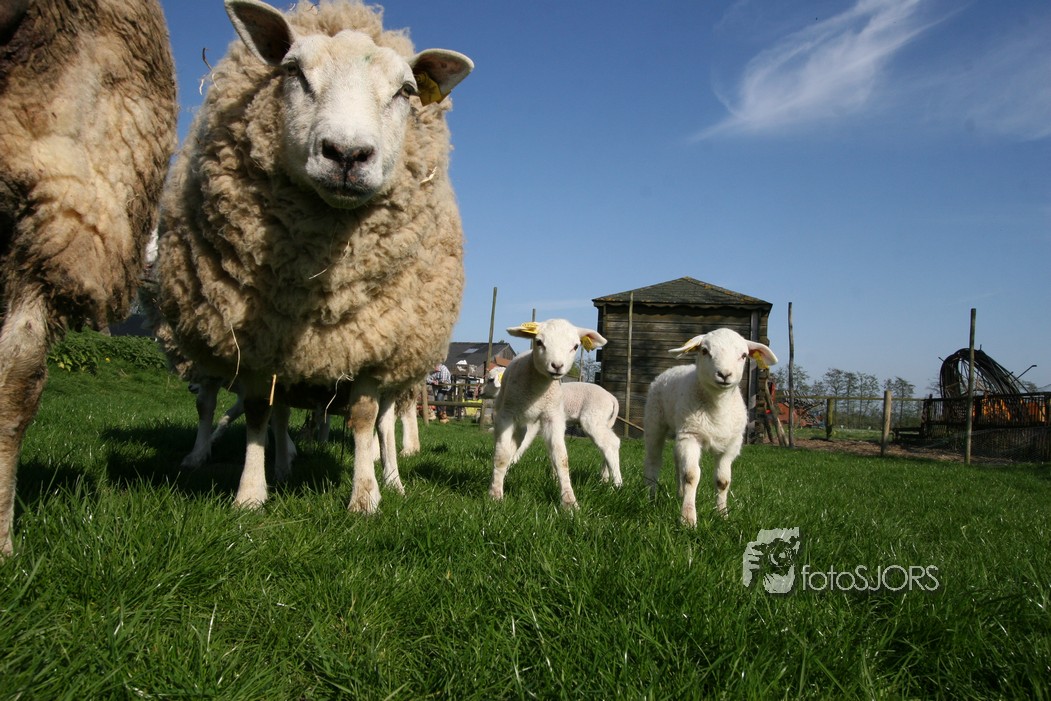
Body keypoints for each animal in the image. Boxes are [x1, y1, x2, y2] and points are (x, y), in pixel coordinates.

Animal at [151, 0, 473, 513]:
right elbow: (257, 413)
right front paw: (250, 493)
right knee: (264, 410)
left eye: (405, 90)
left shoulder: (370, 341)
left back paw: (393, 477)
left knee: (385, 423)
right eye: (293, 71)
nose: (347, 154)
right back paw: (270, 463)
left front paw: (365, 497)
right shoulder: (258, 340)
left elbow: (363, 418)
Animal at [482, 365, 622, 486]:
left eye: (490, 380)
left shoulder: (531, 423)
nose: (480, 392)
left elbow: (523, 443)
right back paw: (604, 478)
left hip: (593, 419)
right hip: (603, 422)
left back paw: (617, 484)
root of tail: (612, 399)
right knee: (609, 444)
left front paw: (508, 466)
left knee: (611, 444)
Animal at [489, 319, 608, 508]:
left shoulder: (553, 417)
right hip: (505, 414)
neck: (538, 391)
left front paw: (569, 502)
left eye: (575, 346)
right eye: (539, 342)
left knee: (517, 444)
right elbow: (501, 455)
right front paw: (495, 496)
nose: (557, 366)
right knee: (505, 447)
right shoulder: (506, 416)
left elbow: (561, 458)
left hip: (527, 425)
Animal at [643, 328, 777, 526]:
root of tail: (673, 369)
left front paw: (722, 515)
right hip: (655, 422)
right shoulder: (690, 437)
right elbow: (691, 476)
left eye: (743, 355)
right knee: (653, 461)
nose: (725, 374)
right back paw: (650, 497)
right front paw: (688, 519)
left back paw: (679, 494)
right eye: (705, 351)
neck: (718, 406)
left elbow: (723, 481)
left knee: (677, 462)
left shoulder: (731, 445)